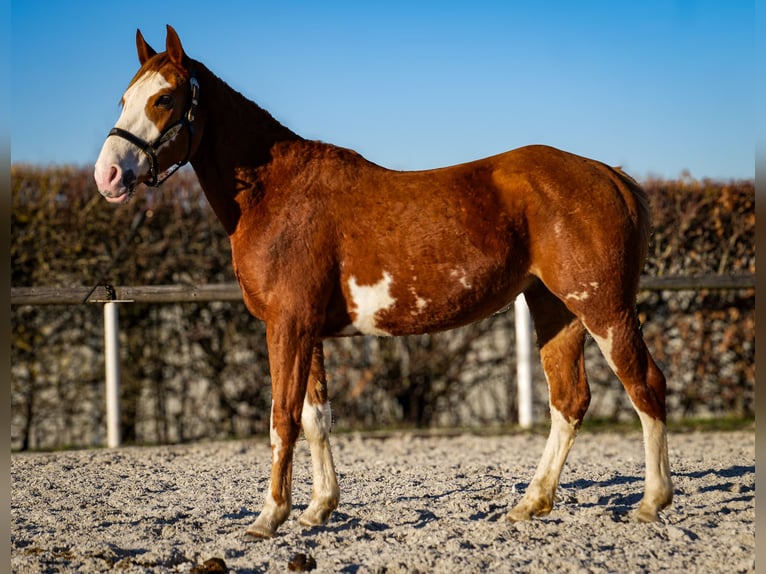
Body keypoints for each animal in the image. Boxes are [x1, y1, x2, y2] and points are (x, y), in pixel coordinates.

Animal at [94, 25, 672, 540]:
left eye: (164, 99)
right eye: (123, 98)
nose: (108, 176)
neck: (273, 192)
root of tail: (610, 175)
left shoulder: (287, 325)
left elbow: (283, 417)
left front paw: (269, 518)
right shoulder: (307, 330)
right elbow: (316, 418)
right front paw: (318, 510)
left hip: (604, 308)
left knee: (645, 383)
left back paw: (651, 502)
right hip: (556, 309)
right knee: (569, 401)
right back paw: (530, 504)